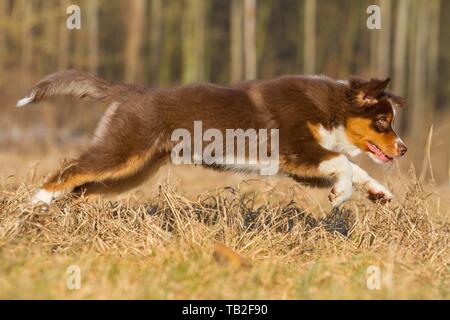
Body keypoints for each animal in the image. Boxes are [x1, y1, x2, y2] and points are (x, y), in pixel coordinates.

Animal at [16, 70, 404, 208]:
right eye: (383, 122)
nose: (403, 149)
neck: (331, 109)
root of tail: (128, 90)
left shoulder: (300, 167)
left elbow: (353, 166)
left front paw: (379, 192)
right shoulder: (298, 150)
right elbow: (344, 162)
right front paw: (341, 195)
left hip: (133, 171)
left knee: (82, 186)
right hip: (121, 151)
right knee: (68, 170)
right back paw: (36, 203)